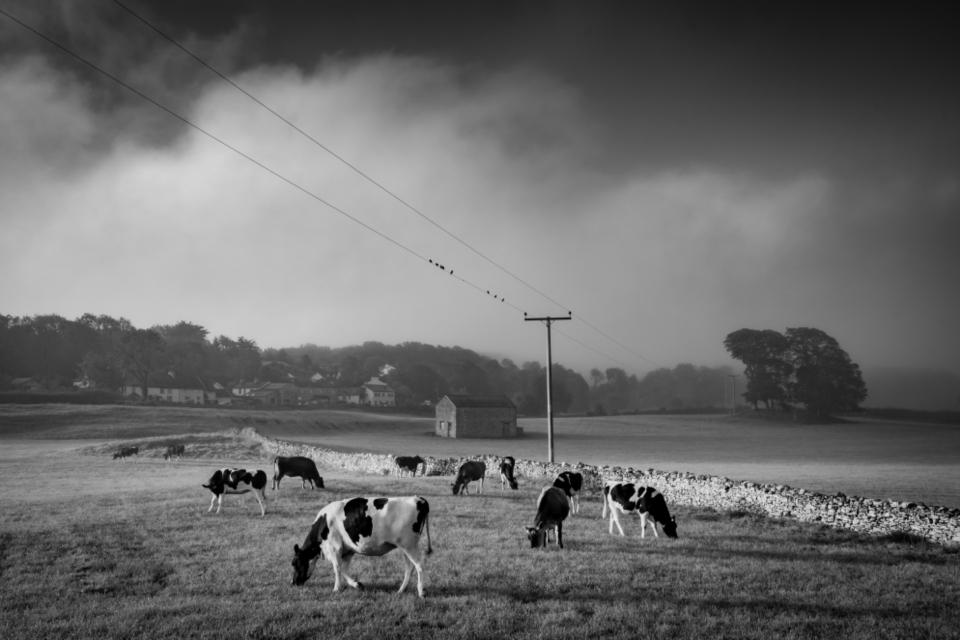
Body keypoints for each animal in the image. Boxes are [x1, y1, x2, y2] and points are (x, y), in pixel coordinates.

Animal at [290, 496, 432, 598]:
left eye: (294, 563)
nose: (293, 583)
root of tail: (419, 499)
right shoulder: (348, 550)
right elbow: (344, 570)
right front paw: (358, 584)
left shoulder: (334, 547)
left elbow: (337, 568)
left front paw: (336, 589)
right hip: (405, 547)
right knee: (409, 567)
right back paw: (402, 590)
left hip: (409, 545)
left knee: (420, 564)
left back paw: (421, 591)